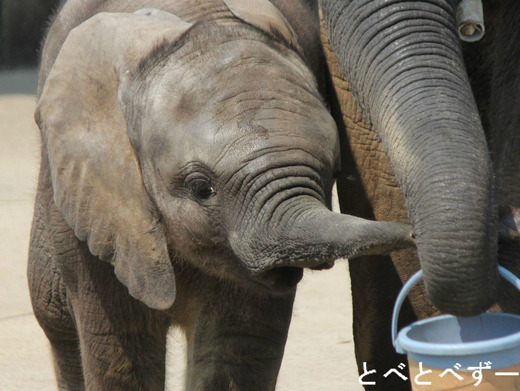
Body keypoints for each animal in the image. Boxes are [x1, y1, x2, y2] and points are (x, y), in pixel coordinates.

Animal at [28, 1, 412, 390]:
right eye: (201, 189)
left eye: (334, 173)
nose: (412, 233)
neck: (200, 21)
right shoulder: (101, 205)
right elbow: (123, 353)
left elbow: (233, 347)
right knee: (56, 318)